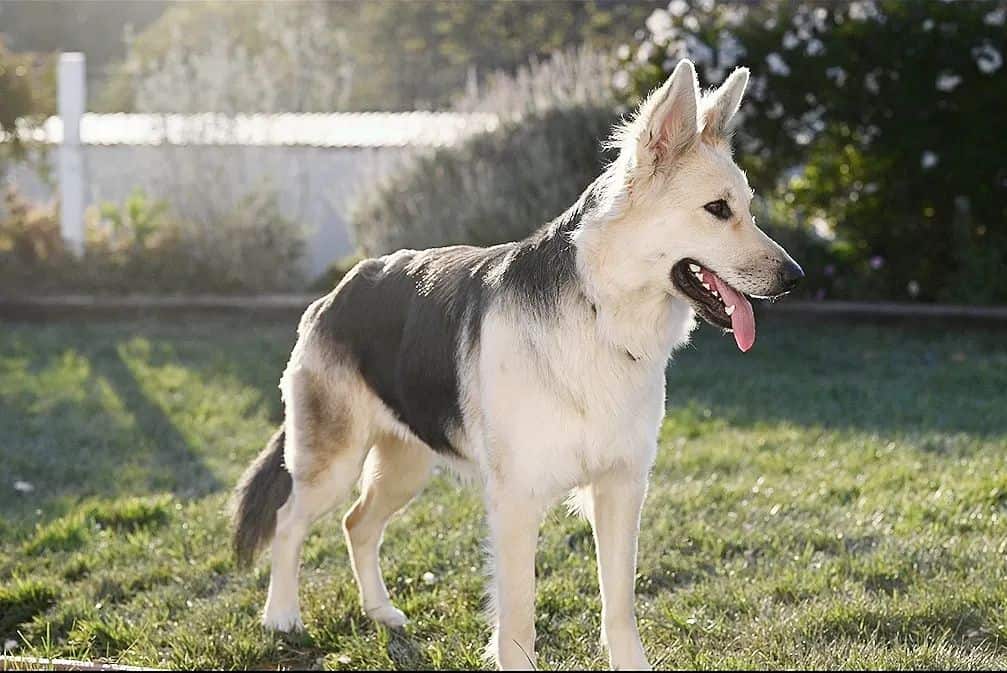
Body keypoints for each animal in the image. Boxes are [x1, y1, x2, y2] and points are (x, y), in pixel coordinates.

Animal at [233, 60, 801, 668]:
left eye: (747, 210)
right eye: (718, 210)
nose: (796, 278)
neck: (599, 316)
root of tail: (335, 293)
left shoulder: (621, 489)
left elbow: (619, 607)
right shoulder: (517, 502)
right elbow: (518, 622)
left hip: (405, 465)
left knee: (356, 524)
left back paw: (380, 612)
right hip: (332, 463)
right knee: (289, 521)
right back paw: (282, 616)